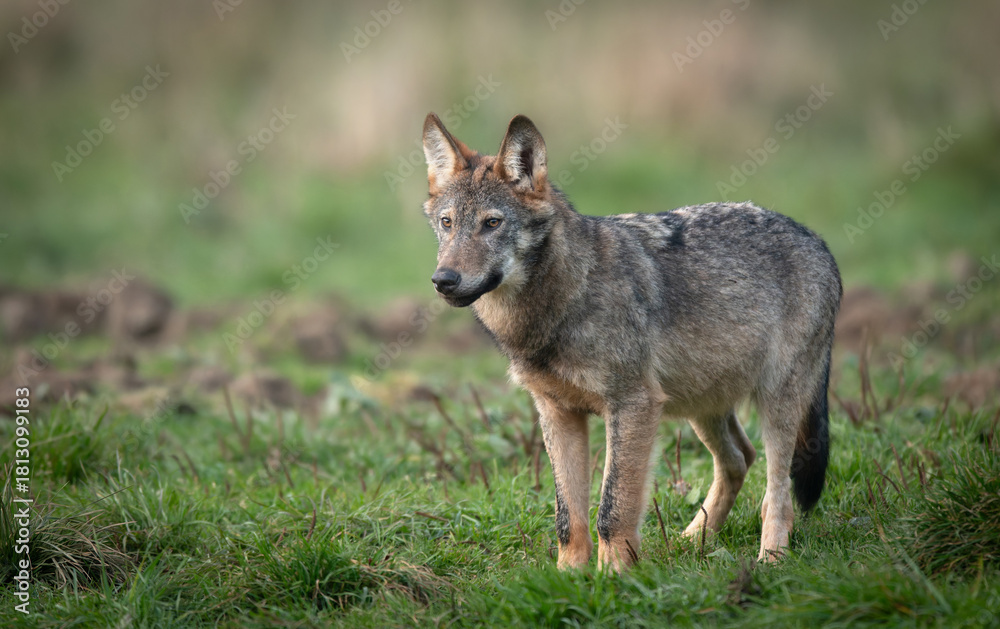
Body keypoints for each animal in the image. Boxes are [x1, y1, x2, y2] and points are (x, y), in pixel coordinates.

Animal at [420, 113, 842, 571]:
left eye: (492, 223)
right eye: (447, 224)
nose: (443, 280)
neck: (565, 297)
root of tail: (819, 242)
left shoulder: (633, 404)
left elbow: (612, 507)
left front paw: (614, 576)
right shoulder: (557, 413)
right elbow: (567, 515)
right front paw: (567, 576)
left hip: (774, 403)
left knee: (777, 491)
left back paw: (770, 558)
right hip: (699, 406)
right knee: (739, 458)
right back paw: (692, 541)